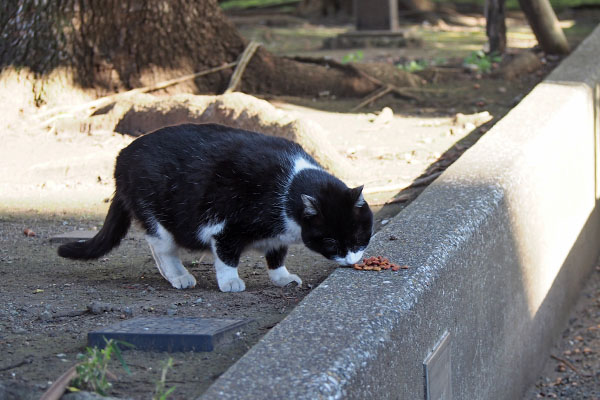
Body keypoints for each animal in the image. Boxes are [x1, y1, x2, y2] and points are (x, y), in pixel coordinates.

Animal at [58, 123, 372, 292]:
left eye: (359, 237)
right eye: (330, 242)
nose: (351, 260)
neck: (288, 187)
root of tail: (121, 158)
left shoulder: (277, 236)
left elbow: (276, 255)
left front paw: (282, 277)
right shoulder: (225, 226)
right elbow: (227, 256)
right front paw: (230, 282)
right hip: (156, 212)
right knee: (162, 247)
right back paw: (179, 276)